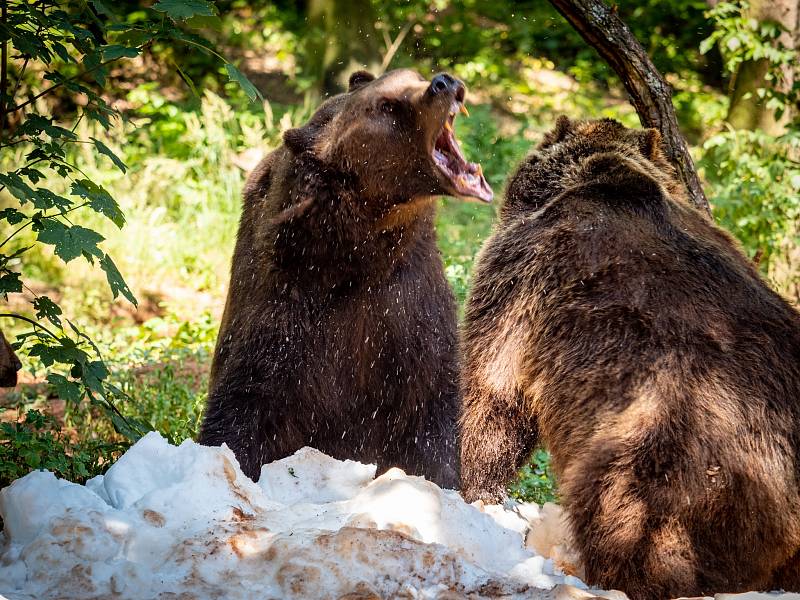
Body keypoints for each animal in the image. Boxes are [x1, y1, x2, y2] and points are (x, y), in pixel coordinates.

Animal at [197, 68, 490, 490]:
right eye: (388, 105)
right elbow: (242, 412)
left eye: (413, 75)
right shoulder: (284, 313)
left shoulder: (408, 307)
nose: (444, 82)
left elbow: (432, 410)